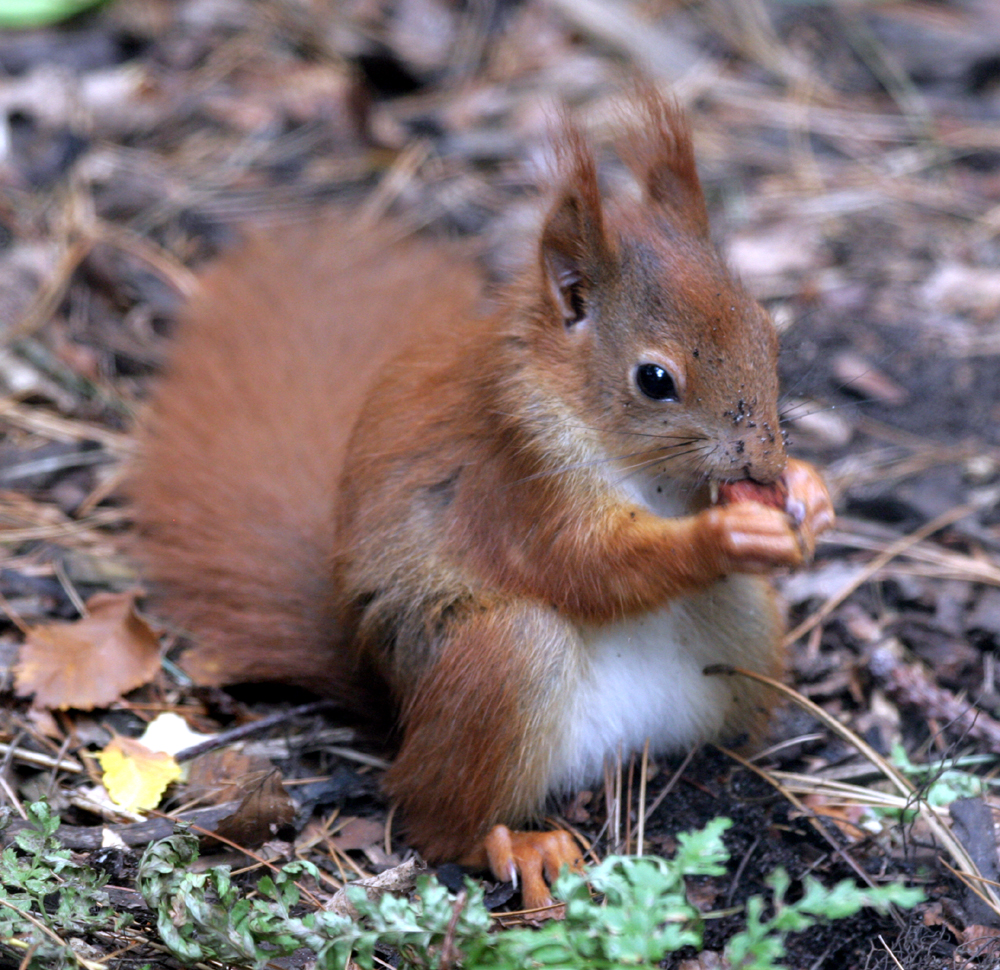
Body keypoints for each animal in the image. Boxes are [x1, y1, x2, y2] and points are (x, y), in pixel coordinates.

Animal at [131, 92, 834, 909]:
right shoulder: (514, 483)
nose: (765, 461)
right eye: (655, 380)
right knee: (432, 814)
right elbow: (585, 567)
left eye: (769, 335)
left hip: (742, 627)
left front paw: (810, 493)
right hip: (497, 666)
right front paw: (720, 536)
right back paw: (515, 843)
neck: (628, 456)